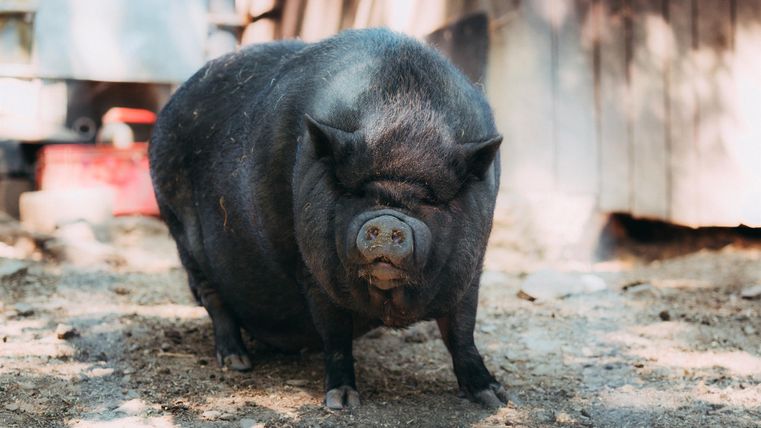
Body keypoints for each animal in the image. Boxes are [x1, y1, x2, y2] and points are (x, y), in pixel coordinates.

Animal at [149, 28, 505, 409]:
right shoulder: (311, 267)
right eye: (357, 193)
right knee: (215, 302)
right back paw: (237, 362)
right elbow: (335, 334)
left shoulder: (470, 267)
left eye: (430, 200)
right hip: (180, 231)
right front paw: (342, 401)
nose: (389, 222)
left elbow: (462, 331)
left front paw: (493, 397)